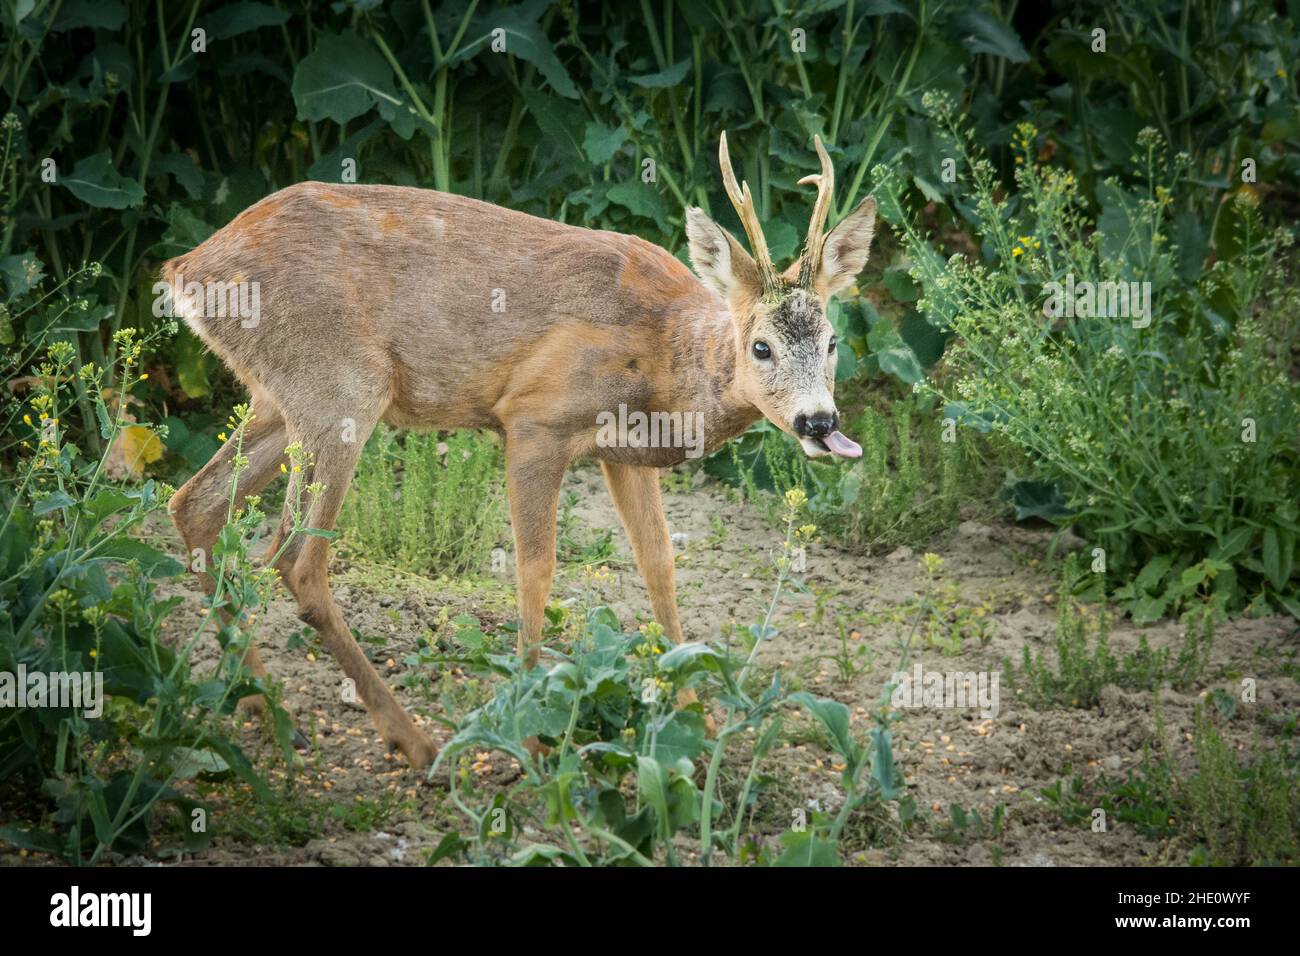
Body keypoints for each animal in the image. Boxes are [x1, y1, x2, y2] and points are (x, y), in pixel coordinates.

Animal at [162, 132, 873, 770]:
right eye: (761, 347)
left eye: (833, 341)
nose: (818, 421)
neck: (667, 359)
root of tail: (187, 271)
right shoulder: (533, 420)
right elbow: (537, 569)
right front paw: (530, 731)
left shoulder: (621, 453)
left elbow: (659, 564)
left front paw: (695, 715)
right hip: (341, 388)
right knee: (295, 559)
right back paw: (413, 742)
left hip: (278, 399)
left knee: (194, 504)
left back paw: (262, 704)